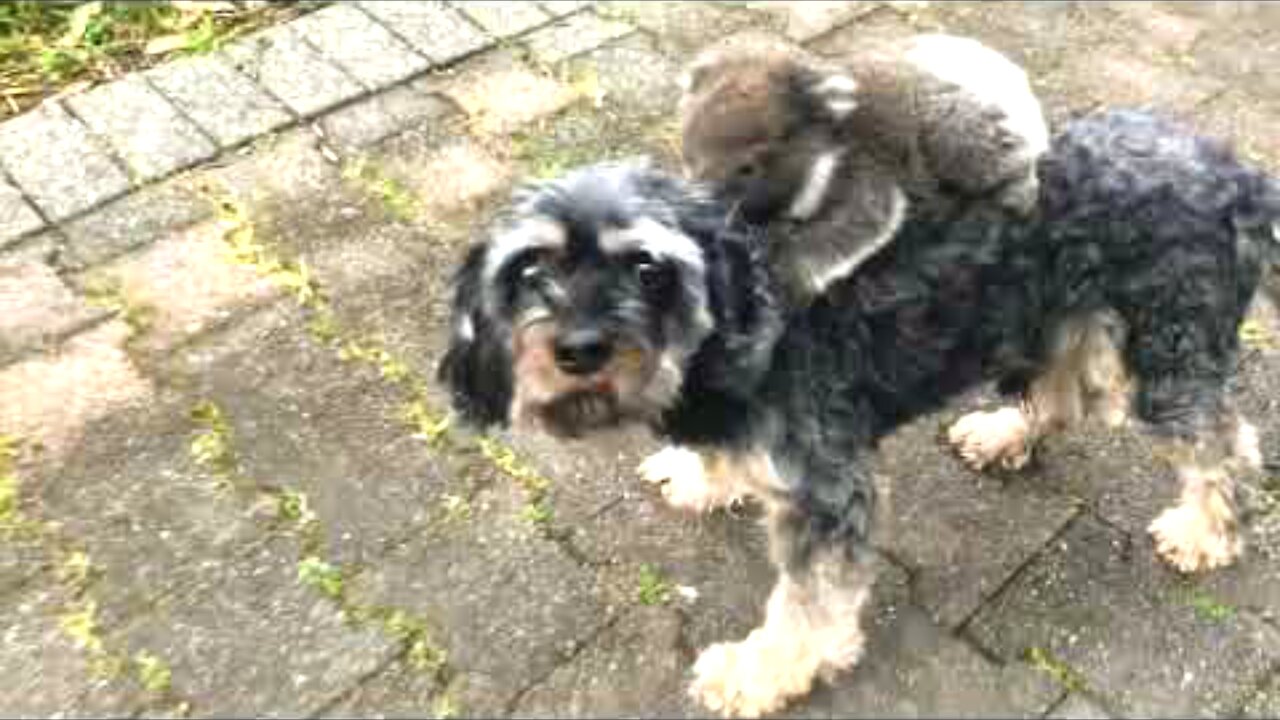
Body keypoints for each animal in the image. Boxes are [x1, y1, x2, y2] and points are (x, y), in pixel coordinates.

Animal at [440, 109, 1280, 712]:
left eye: (647, 268)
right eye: (532, 269)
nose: (579, 348)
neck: (747, 307)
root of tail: (1237, 175)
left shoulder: (829, 490)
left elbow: (807, 606)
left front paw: (760, 674)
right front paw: (705, 473)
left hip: (1168, 352)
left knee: (1224, 442)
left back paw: (1207, 532)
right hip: (1059, 316)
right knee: (1063, 395)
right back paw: (1003, 431)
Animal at [680, 31, 1049, 302]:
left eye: (747, 169)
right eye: (688, 158)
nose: (699, 201)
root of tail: (1014, 76)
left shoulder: (862, 170)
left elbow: (856, 222)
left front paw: (782, 277)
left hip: (960, 127)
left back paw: (1015, 192)